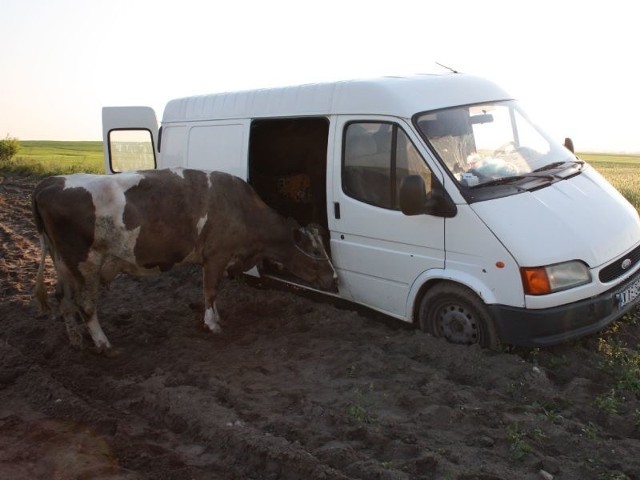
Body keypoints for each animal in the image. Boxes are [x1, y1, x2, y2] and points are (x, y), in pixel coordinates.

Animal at [32, 169, 338, 352]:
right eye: (315, 250)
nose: (335, 279)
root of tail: (50, 182)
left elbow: (213, 293)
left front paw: (216, 317)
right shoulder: (216, 255)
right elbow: (210, 290)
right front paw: (212, 324)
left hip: (63, 265)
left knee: (63, 299)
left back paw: (75, 340)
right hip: (86, 263)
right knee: (85, 304)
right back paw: (102, 342)